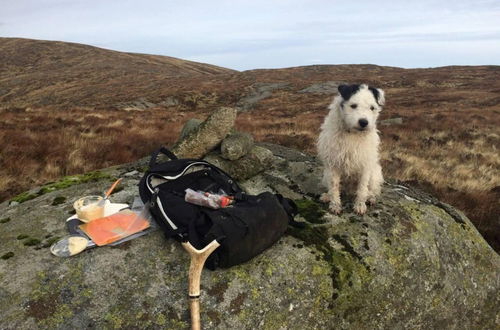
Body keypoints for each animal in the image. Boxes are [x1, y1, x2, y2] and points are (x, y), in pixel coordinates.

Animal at [318, 84, 384, 215]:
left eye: (372, 108)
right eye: (353, 105)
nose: (364, 122)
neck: (353, 134)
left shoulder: (365, 166)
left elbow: (362, 188)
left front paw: (360, 205)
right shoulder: (333, 165)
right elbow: (334, 187)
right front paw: (335, 205)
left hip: (374, 174)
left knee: (372, 190)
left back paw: (370, 198)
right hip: (326, 174)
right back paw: (327, 196)